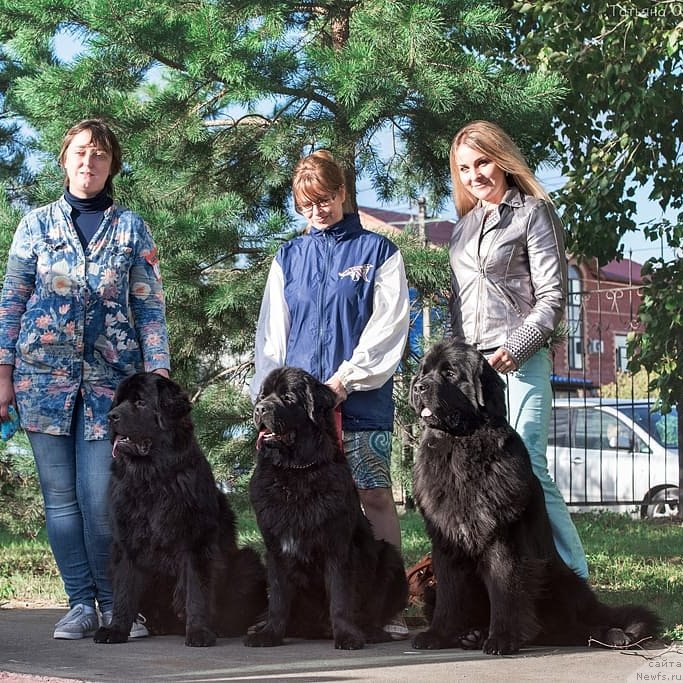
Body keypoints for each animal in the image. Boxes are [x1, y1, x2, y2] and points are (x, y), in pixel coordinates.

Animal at [93, 374, 268, 648]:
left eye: (140, 402)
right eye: (118, 401)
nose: (111, 416)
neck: (151, 478)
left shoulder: (195, 542)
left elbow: (196, 591)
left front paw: (198, 632)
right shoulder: (126, 543)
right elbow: (123, 591)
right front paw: (116, 630)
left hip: (247, 562)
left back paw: (222, 628)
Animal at [244, 368, 408, 652]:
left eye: (287, 397)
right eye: (263, 395)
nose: (260, 408)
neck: (296, 472)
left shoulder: (337, 547)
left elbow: (340, 598)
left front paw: (346, 636)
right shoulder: (276, 549)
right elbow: (278, 598)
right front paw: (270, 634)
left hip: (390, 557)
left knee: (374, 609)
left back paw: (373, 632)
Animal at [408, 342, 660, 656]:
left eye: (450, 374)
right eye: (423, 372)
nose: (418, 386)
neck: (460, 446)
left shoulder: (502, 537)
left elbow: (505, 589)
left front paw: (502, 639)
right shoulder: (446, 540)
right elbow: (449, 595)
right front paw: (438, 635)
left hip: (558, 581)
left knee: (573, 628)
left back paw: (614, 635)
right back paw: (472, 634)